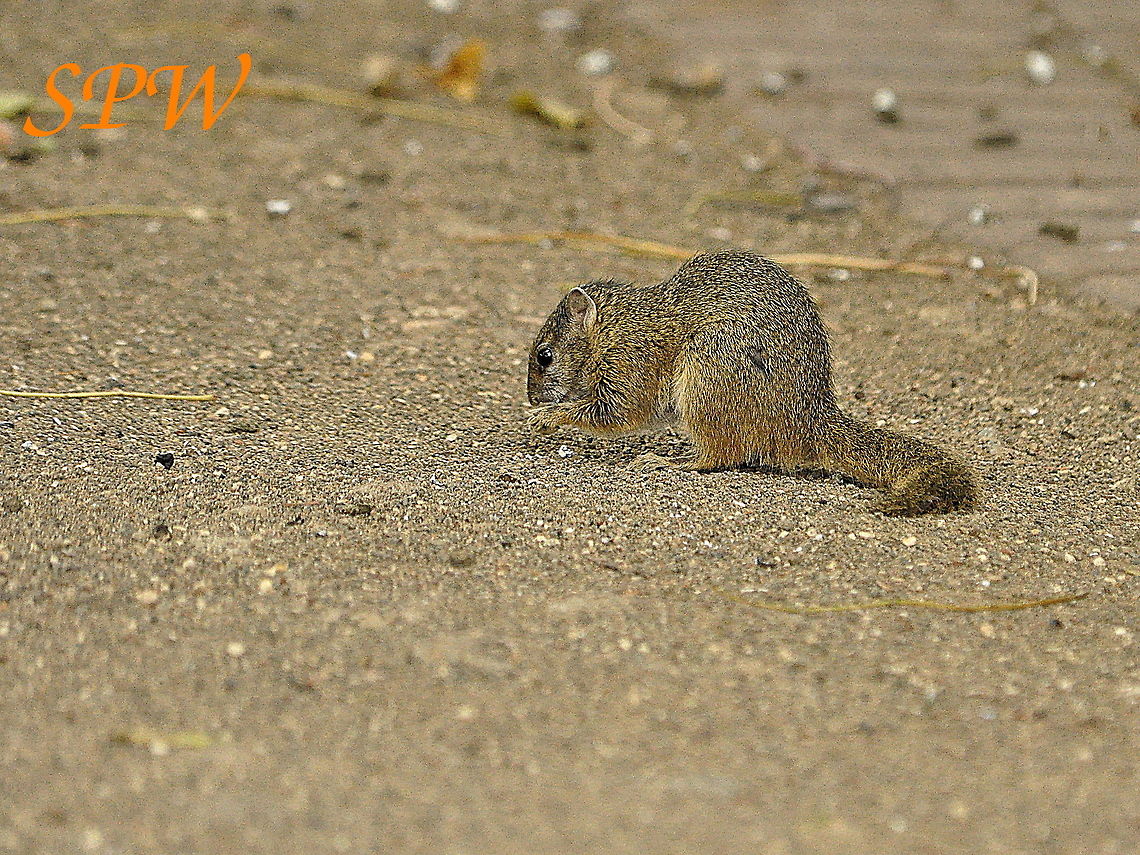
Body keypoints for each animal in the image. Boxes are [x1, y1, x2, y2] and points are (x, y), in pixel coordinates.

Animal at [526, 249, 977, 516]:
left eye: (544, 355)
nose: (530, 399)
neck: (616, 326)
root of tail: (810, 419)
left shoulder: (631, 367)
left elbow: (613, 413)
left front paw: (548, 418)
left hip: (707, 375)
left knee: (717, 455)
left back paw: (669, 462)